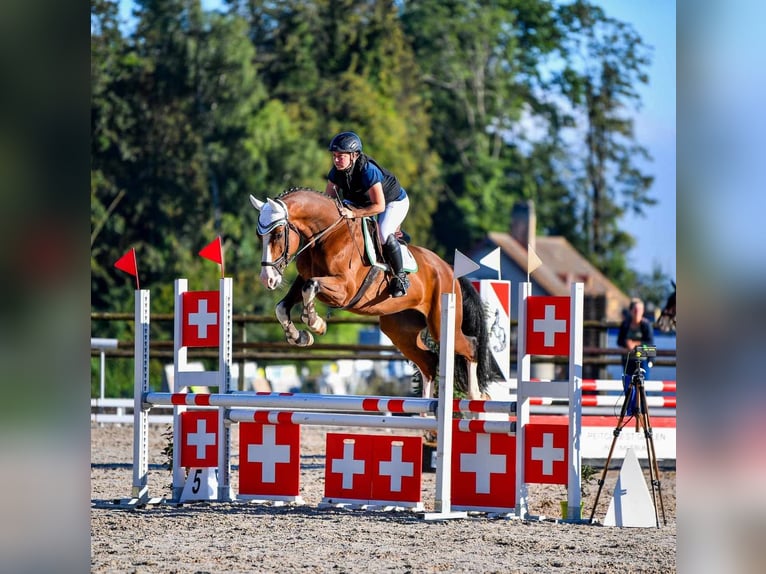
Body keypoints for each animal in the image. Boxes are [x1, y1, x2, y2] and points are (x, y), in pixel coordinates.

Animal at [252, 189, 492, 400]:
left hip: (440, 324)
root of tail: (449, 269)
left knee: (470, 346)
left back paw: (476, 396)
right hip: (399, 330)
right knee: (429, 362)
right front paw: (298, 336)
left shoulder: (344, 290)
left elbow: (310, 287)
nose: (267, 279)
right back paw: (425, 413)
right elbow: (283, 306)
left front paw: (316, 323)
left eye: (278, 234)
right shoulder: (304, 278)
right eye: (258, 236)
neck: (326, 236)